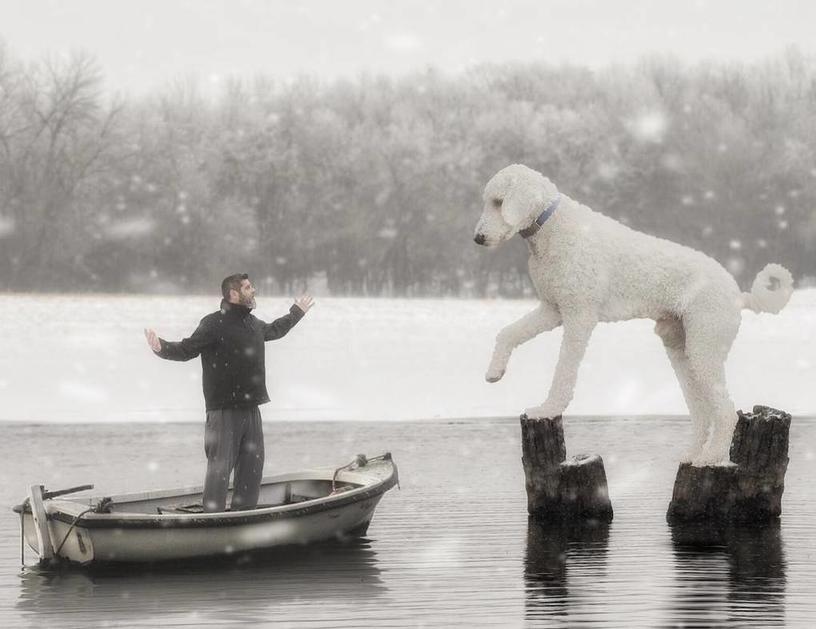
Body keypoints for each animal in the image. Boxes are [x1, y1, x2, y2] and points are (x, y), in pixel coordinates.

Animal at [474, 163, 792, 466]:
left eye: (499, 202)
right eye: (488, 201)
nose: (478, 238)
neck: (553, 228)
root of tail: (739, 294)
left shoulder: (579, 315)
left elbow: (564, 370)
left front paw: (548, 408)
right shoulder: (552, 309)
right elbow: (508, 333)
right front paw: (494, 373)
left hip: (705, 345)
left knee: (726, 411)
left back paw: (710, 458)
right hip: (681, 349)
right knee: (702, 412)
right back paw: (692, 455)